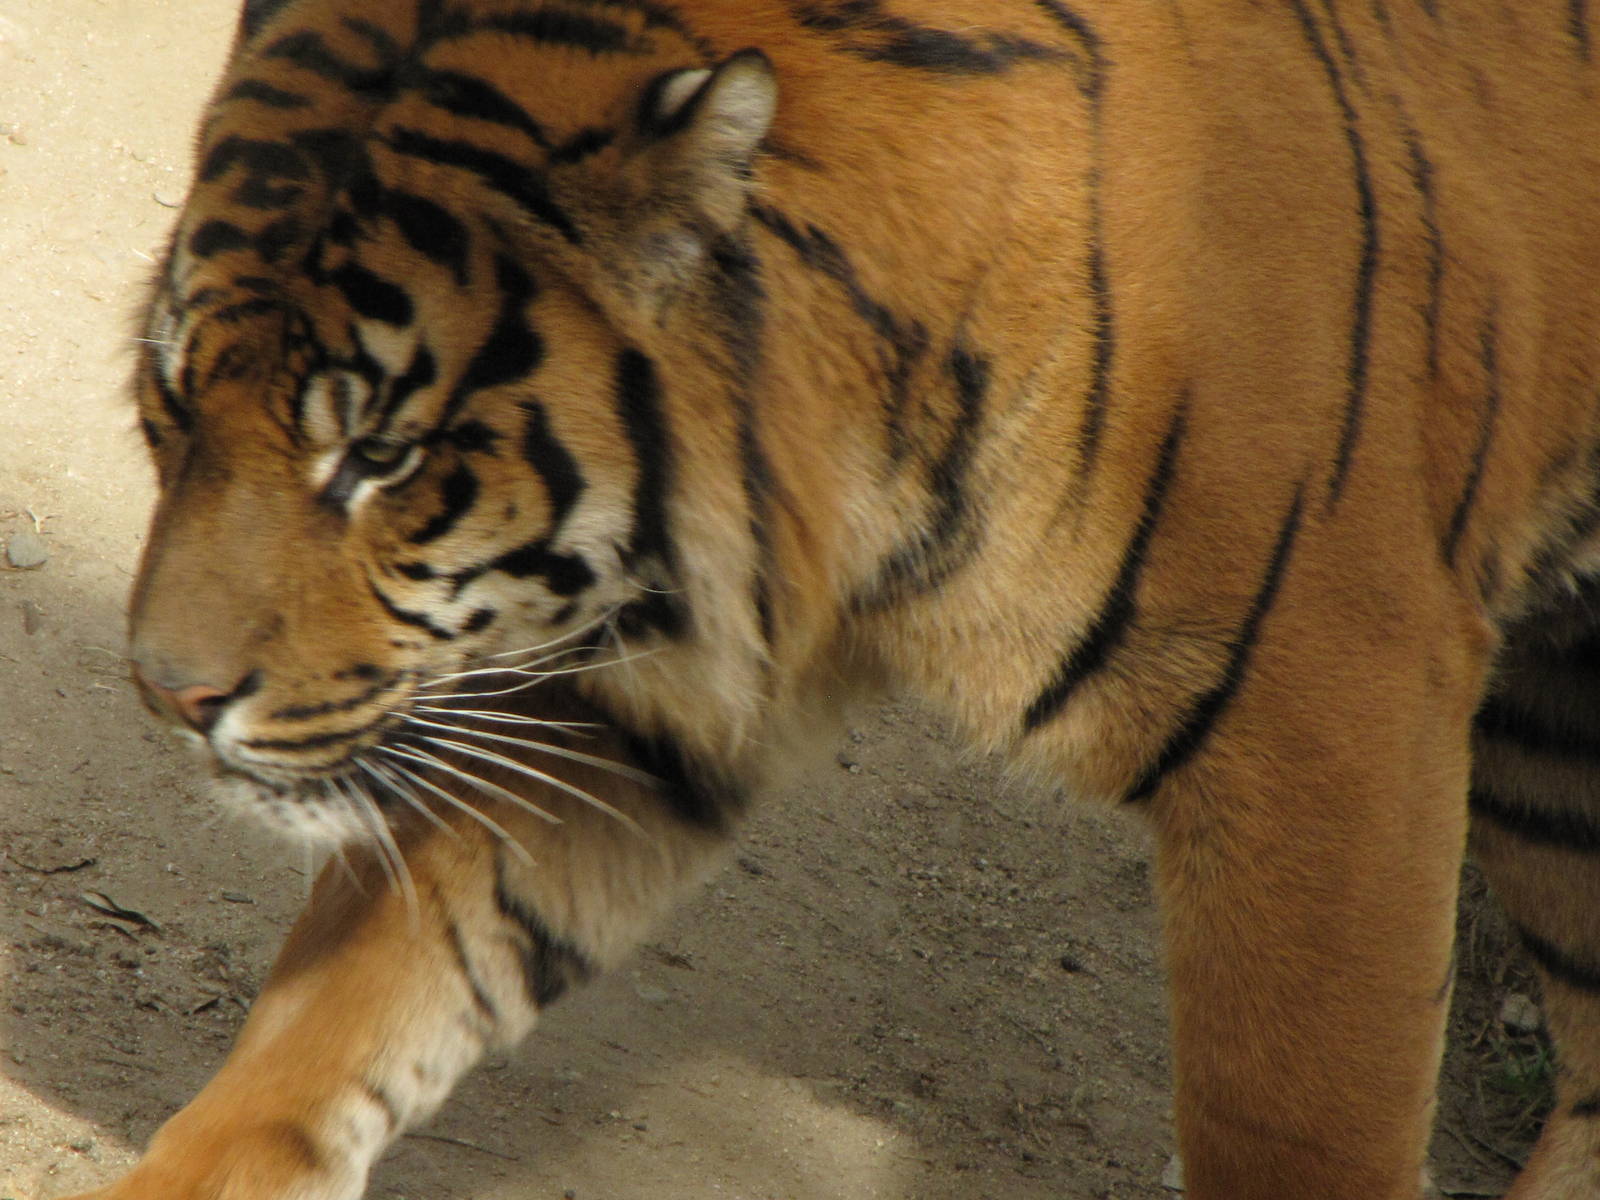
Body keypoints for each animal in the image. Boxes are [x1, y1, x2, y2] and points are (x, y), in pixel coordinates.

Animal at [62, 0, 1600, 1196]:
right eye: (176, 401)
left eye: (381, 455)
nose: (169, 695)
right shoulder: (632, 693)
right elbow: (353, 1002)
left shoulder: (1327, 723)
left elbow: (1297, 1125)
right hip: (1556, 757)